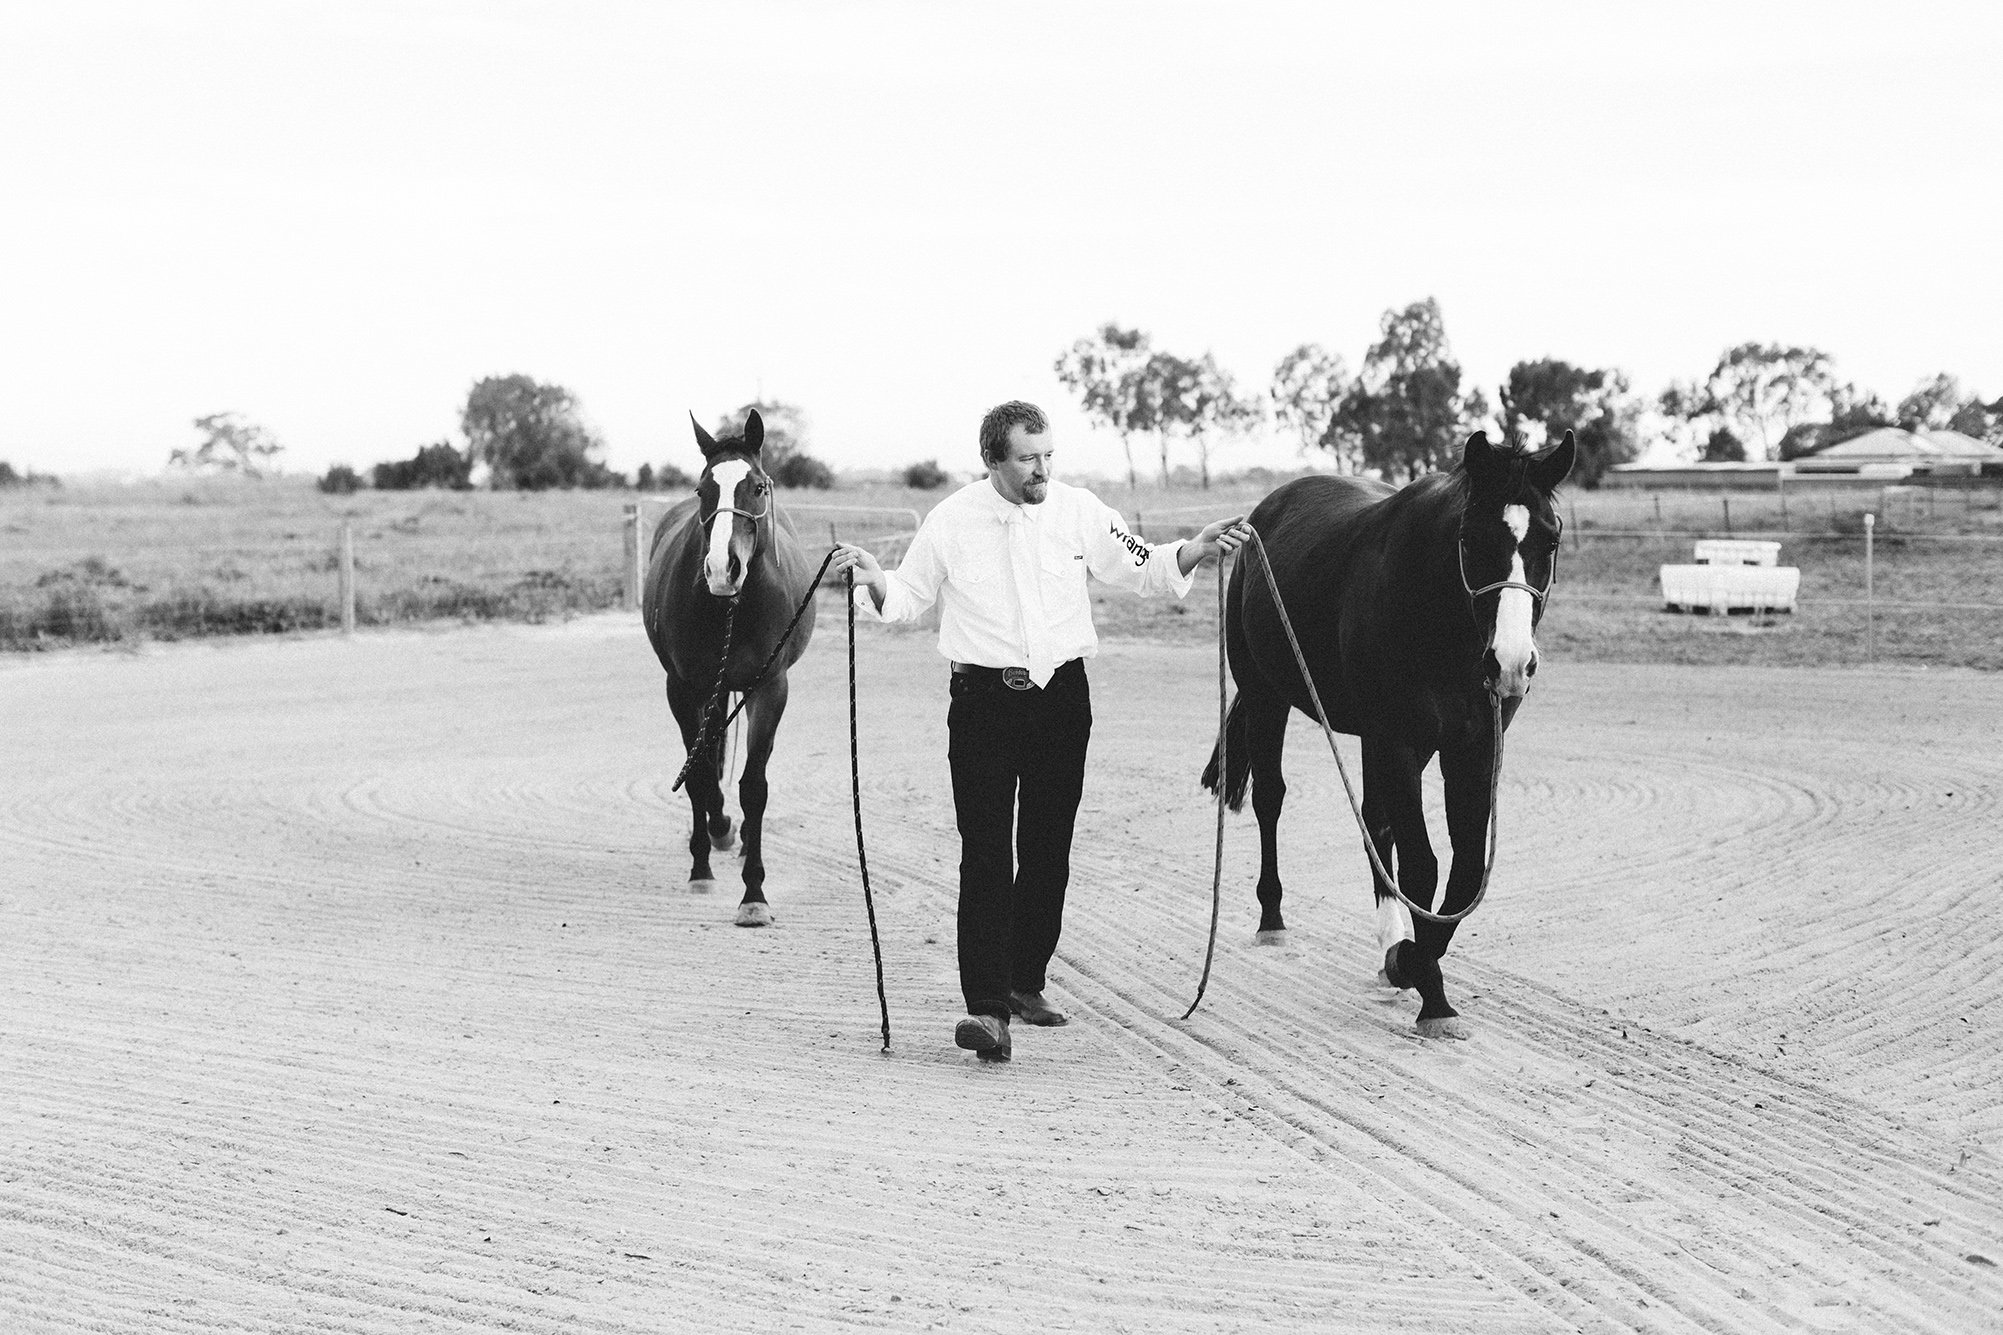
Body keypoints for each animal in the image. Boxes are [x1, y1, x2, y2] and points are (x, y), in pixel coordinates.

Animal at [648, 412, 821, 924]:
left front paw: (754, 894)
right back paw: (720, 830)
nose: (723, 570)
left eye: (759, 487)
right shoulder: (684, 689)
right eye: (703, 489)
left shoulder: (769, 688)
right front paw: (701, 866)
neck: (732, 608)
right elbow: (701, 775)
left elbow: (754, 786)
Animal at [1193, 434, 1570, 1040]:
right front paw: (1425, 985)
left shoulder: (1471, 749)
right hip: (1267, 697)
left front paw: (1410, 959)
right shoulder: (1399, 742)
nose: (1511, 662)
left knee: (1376, 822)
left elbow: (1464, 871)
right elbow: (1424, 866)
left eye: (1551, 537)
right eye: (1472, 537)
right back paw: (1274, 918)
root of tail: (1260, 519)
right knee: (1273, 798)